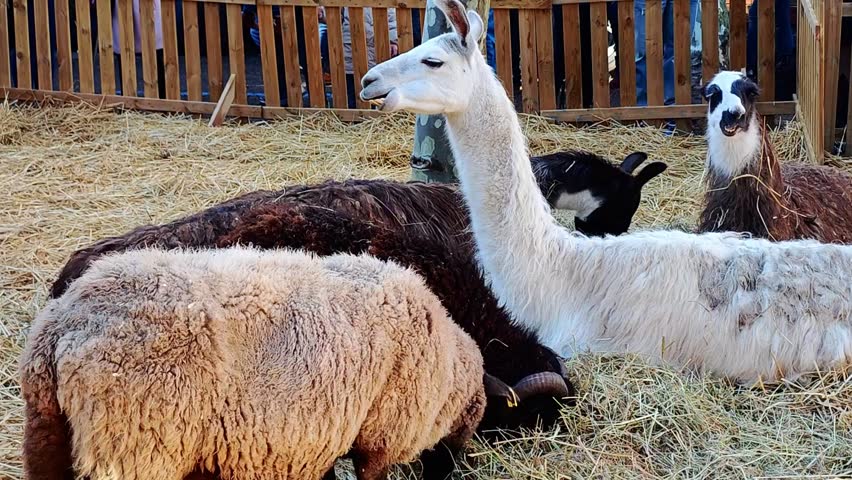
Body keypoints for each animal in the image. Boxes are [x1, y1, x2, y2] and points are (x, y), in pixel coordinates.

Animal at [21, 247, 486, 480]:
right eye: (473, 423)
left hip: (47, 438)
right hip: (136, 448)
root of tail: (65, 323)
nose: (455, 469)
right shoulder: (379, 435)